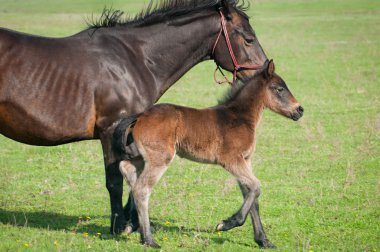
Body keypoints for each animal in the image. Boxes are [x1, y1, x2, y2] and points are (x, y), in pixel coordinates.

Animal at [0, 0, 268, 233]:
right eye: (248, 39)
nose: (264, 73)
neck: (133, 60)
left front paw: (134, 224)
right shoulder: (111, 130)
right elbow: (115, 181)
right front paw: (120, 226)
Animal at [112, 60, 302, 249]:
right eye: (279, 89)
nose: (300, 110)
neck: (239, 117)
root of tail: (141, 115)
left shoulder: (246, 160)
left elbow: (251, 195)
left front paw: (263, 240)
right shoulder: (231, 160)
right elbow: (256, 187)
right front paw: (227, 223)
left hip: (142, 157)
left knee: (127, 169)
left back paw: (137, 230)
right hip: (160, 158)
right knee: (142, 189)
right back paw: (149, 240)